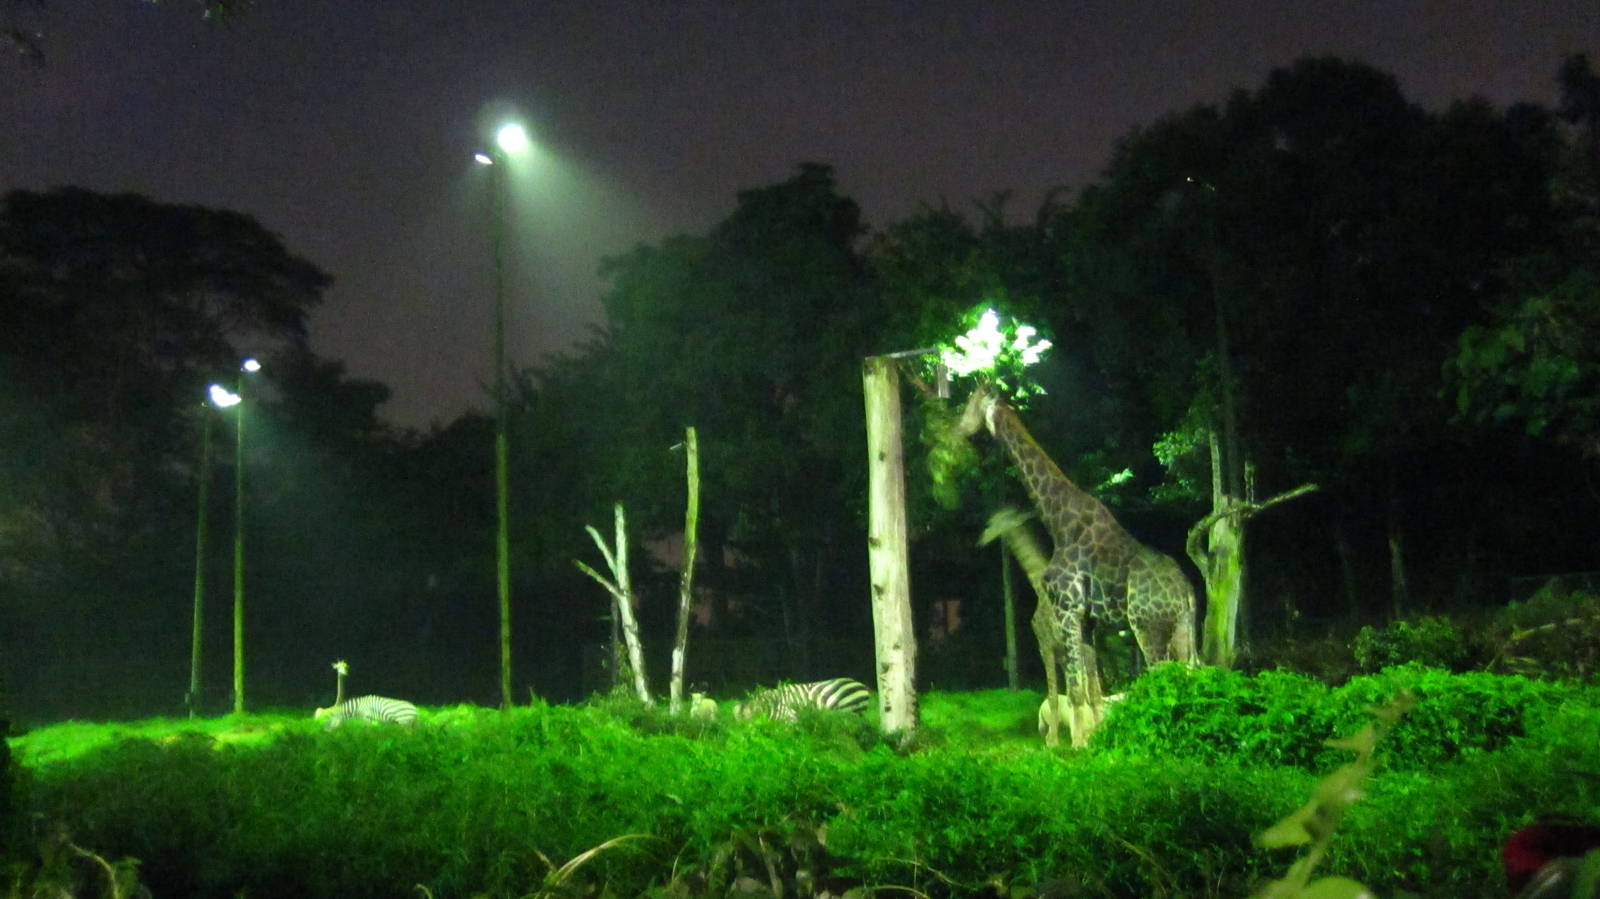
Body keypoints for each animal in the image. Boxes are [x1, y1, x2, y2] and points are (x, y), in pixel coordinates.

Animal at [958, 382, 1197, 747]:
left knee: (1161, 677)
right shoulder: (1088, 622)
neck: (1058, 521)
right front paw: (1094, 741)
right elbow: (1090, 690)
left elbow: (1075, 692)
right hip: (1183, 627)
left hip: (1148, 627)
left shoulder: (1068, 610)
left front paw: (1078, 747)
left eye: (970, 404)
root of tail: (1186, 592)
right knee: (1192, 674)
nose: (959, 429)